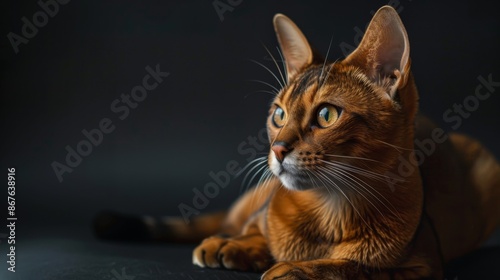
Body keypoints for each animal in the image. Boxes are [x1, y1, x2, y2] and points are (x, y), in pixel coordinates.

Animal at [94, 5, 500, 278]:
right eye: (279, 115)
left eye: (327, 115)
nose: (277, 150)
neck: (328, 211)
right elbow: (258, 232)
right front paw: (235, 245)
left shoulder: (424, 266)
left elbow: (358, 268)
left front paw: (298, 268)